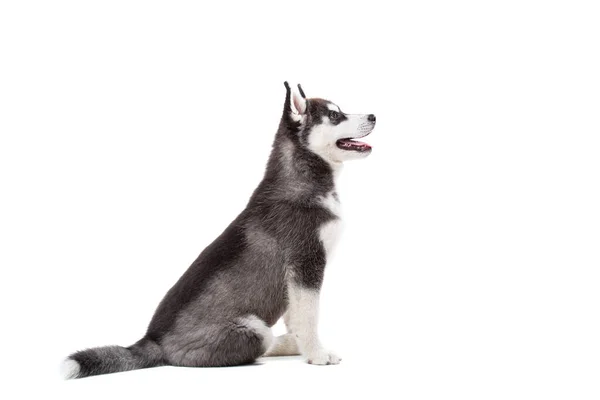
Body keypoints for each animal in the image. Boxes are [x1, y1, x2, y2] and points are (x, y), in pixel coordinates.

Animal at [61, 82, 376, 378]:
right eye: (335, 115)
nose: (373, 115)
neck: (301, 178)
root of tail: (152, 340)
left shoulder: (301, 275)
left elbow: (296, 315)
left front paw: (304, 346)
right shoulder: (306, 262)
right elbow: (308, 316)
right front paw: (317, 353)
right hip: (254, 327)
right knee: (261, 342)